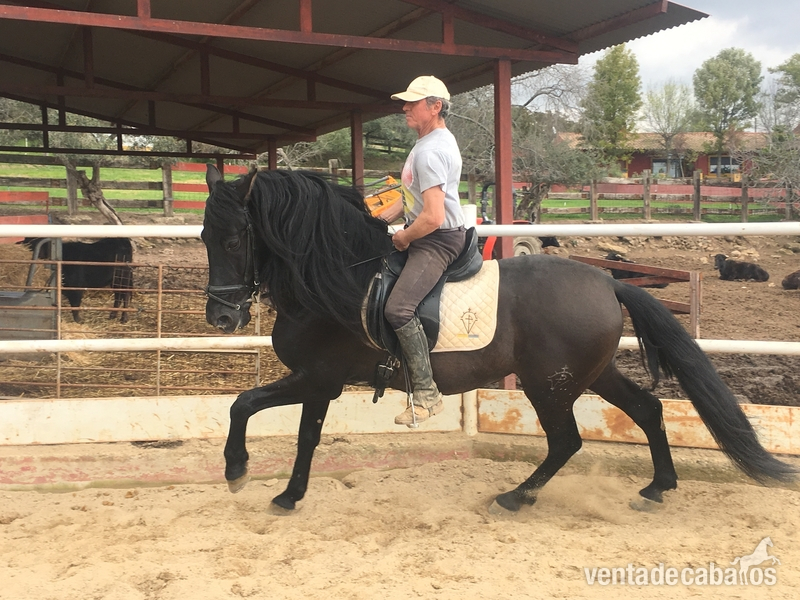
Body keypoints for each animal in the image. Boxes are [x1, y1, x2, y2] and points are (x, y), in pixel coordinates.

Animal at [201, 165, 795, 514]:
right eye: (205, 236)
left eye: (233, 239)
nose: (220, 318)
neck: (335, 280)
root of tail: (607, 280)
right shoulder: (320, 383)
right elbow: (303, 436)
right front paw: (288, 495)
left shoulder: (317, 377)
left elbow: (243, 403)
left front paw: (236, 472)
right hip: (592, 374)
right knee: (648, 410)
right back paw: (656, 488)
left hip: (548, 384)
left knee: (567, 441)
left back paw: (515, 497)